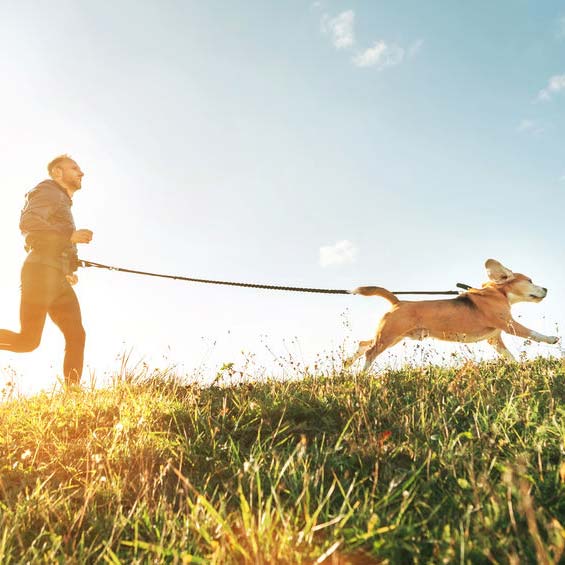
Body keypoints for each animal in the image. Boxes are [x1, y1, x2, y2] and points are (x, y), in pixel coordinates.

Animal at [344, 258, 560, 372]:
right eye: (530, 280)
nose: (546, 289)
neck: (498, 292)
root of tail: (397, 301)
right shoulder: (509, 324)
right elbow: (533, 333)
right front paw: (551, 338)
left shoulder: (494, 339)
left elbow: (509, 355)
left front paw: (517, 367)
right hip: (389, 335)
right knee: (370, 352)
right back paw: (363, 374)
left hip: (392, 336)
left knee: (363, 344)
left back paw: (348, 365)